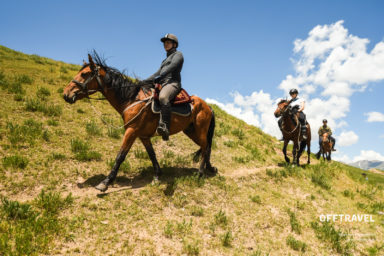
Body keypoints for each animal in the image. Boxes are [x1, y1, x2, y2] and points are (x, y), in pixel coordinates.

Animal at [61, 52, 214, 192]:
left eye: (84, 74)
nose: (66, 94)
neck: (132, 99)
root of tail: (207, 106)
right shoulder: (143, 136)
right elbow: (152, 154)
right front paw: (157, 176)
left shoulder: (131, 131)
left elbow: (120, 156)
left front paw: (105, 182)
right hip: (191, 131)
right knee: (205, 147)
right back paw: (208, 168)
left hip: (199, 131)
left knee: (205, 147)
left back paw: (200, 174)